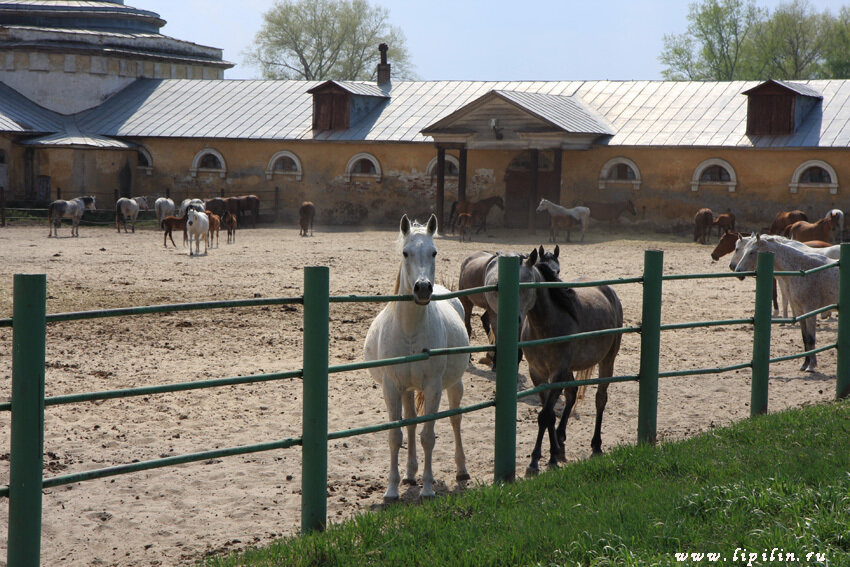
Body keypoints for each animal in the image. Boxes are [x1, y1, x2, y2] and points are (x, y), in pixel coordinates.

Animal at [362, 214, 470, 502]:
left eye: (434, 252)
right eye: (405, 252)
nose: (423, 288)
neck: (410, 330)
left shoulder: (433, 386)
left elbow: (428, 436)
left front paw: (428, 488)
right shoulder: (392, 387)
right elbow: (396, 435)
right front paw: (391, 490)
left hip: (454, 385)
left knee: (455, 419)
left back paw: (461, 470)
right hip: (407, 390)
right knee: (410, 423)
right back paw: (410, 474)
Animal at [516, 251, 624, 478]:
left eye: (528, 285)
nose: (517, 318)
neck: (545, 326)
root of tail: (609, 291)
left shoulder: (557, 373)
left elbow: (545, 415)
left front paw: (537, 461)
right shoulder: (538, 375)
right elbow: (548, 415)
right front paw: (553, 453)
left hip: (608, 359)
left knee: (600, 399)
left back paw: (596, 446)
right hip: (569, 369)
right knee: (572, 395)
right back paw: (561, 441)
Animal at [728, 235, 836, 372]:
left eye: (751, 252)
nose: (737, 270)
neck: (802, 268)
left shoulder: (810, 310)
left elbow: (811, 338)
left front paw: (811, 366)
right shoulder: (800, 310)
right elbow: (805, 337)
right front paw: (805, 364)